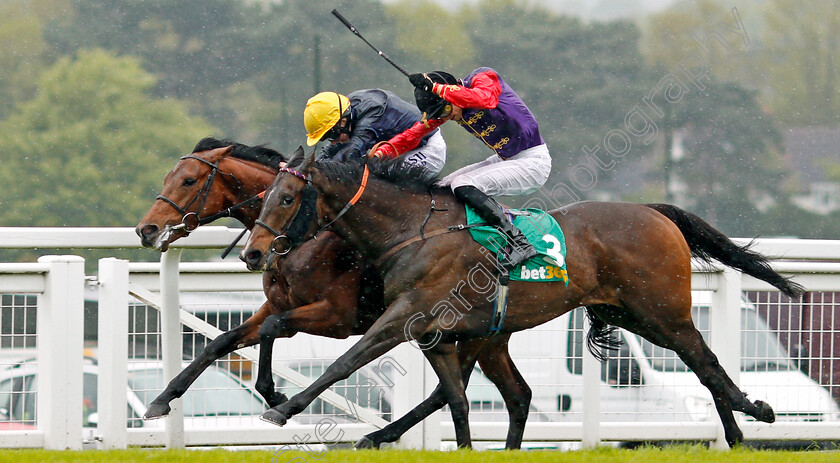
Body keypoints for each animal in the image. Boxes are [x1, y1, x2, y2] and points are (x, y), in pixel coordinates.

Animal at [136, 137, 532, 450]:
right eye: (168, 177)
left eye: (188, 180)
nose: (146, 229)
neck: (302, 239)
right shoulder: (277, 305)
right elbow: (222, 341)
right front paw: (162, 400)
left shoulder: (336, 317)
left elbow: (272, 330)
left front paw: (276, 396)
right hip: (491, 337)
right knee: (512, 394)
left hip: (467, 331)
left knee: (452, 391)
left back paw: (376, 436)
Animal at [240, 150, 804, 450]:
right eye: (263, 197)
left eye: (286, 198)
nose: (253, 253)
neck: (410, 230)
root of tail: (654, 212)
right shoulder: (436, 334)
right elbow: (457, 400)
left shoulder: (402, 317)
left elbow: (345, 362)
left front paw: (282, 408)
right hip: (617, 315)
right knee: (522, 394)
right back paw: (739, 431)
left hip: (660, 313)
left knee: (705, 362)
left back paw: (754, 412)